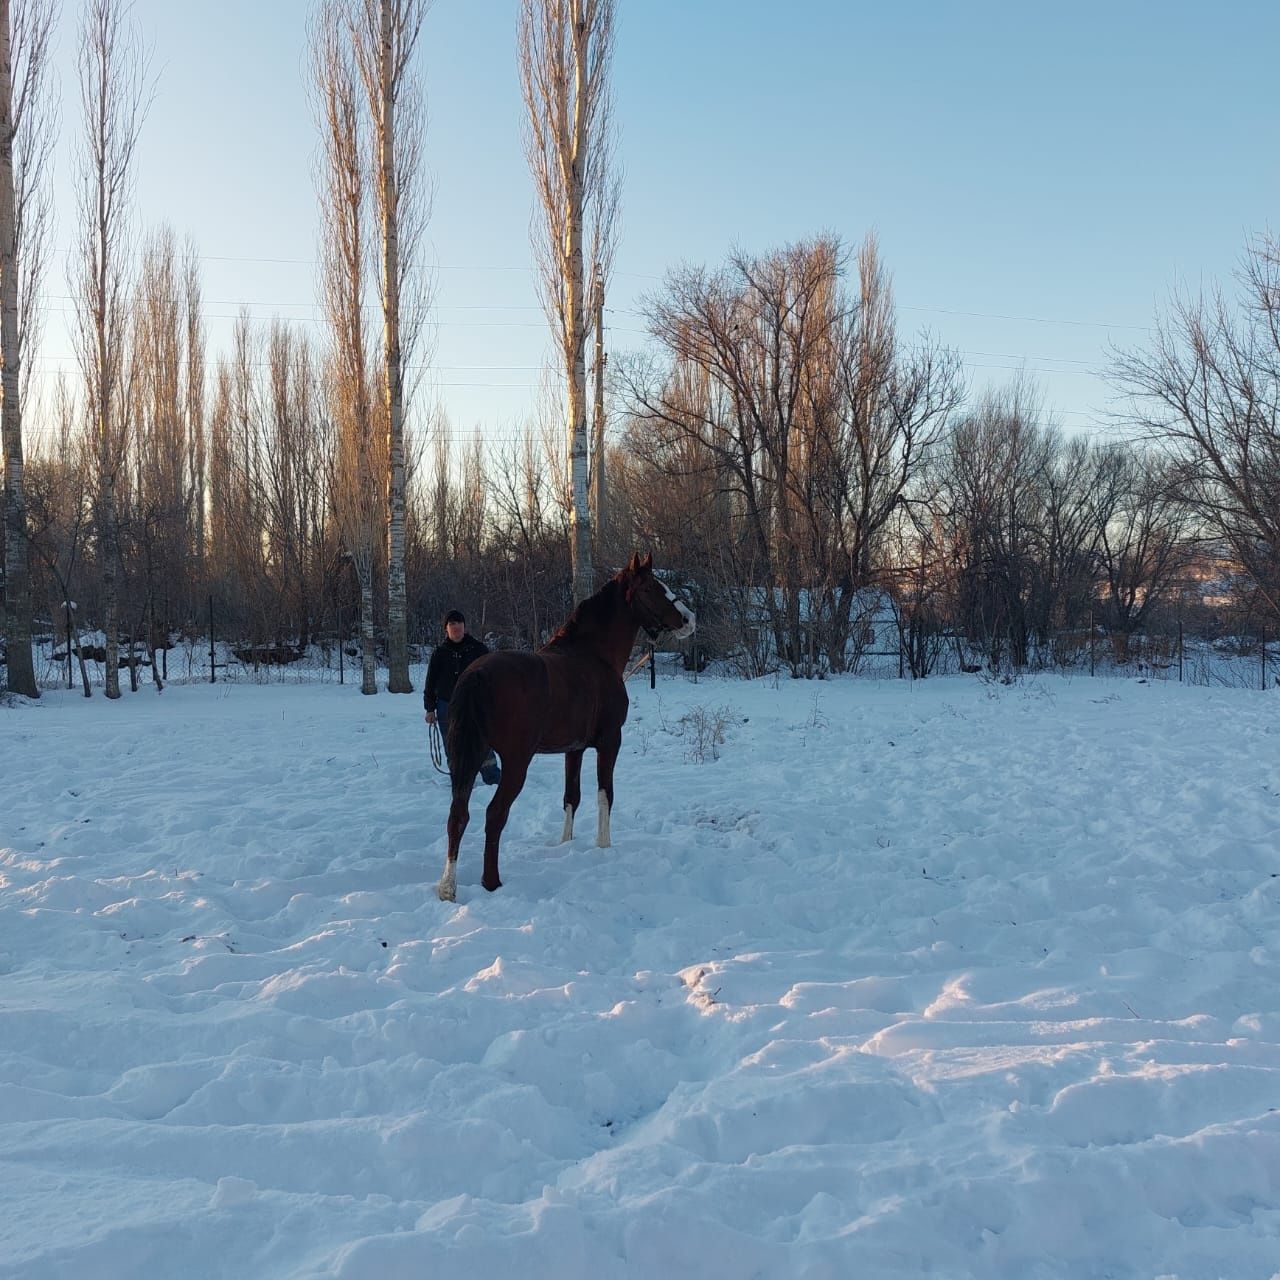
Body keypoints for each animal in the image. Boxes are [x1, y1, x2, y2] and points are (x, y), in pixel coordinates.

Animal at [440, 552, 701, 901]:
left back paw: (448, 888)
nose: (689, 619)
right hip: (516, 762)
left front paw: (565, 844)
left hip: (468, 757)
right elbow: (605, 794)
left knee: (457, 815)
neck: (594, 655)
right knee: (494, 814)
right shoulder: (609, 742)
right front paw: (603, 846)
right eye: (650, 588)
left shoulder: (573, 749)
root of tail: (476, 674)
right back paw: (491, 882)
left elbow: (571, 797)